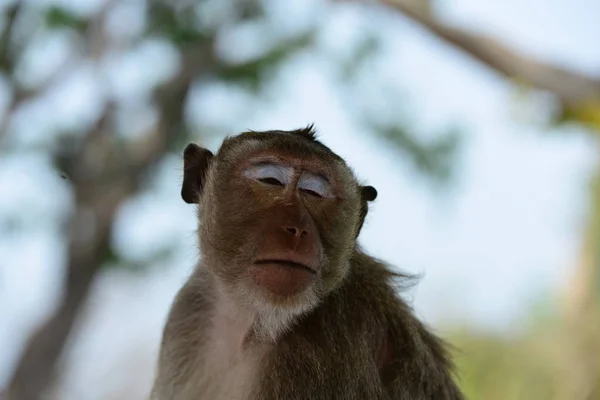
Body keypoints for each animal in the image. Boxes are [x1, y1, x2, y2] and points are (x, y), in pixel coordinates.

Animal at [150, 126, 464, 400]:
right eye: (270, 180)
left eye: (314, 193)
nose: (297, 229)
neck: (253, 323)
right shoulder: (188, 312)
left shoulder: (322, 353)